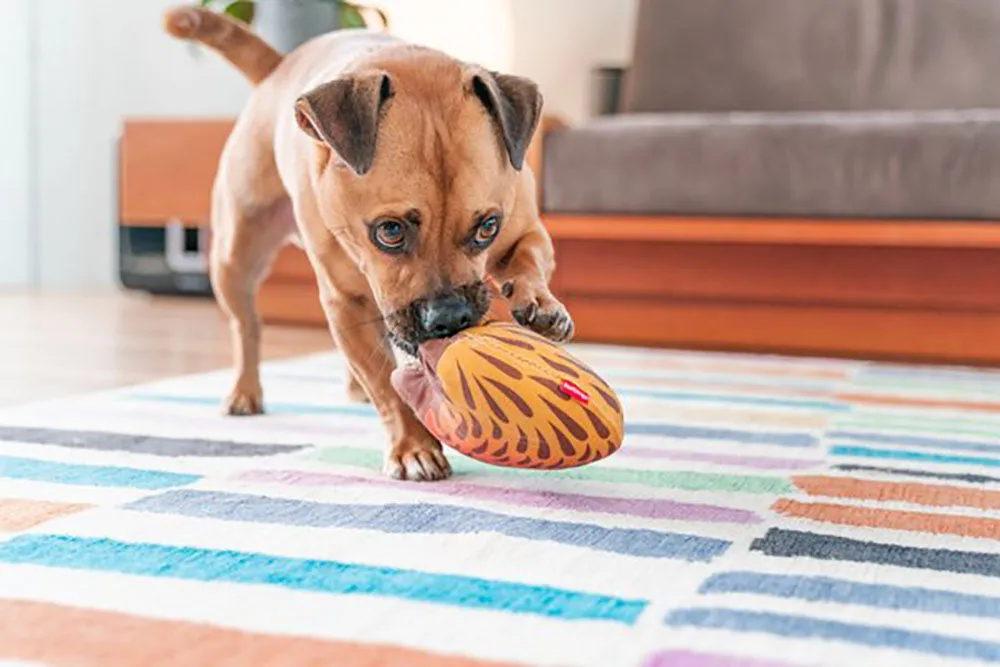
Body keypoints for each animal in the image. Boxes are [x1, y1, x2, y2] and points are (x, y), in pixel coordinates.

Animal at [163, 9, 572, 480]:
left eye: (487, 227)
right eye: (389, 232)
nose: (450, 317)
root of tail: (278, 67)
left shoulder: (525, 229)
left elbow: (527, 261)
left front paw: (540, 304)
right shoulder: (347, 301)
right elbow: (384, 383)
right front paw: (414, 448)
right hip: (234, 259)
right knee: (246, 327)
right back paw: (245, 391)